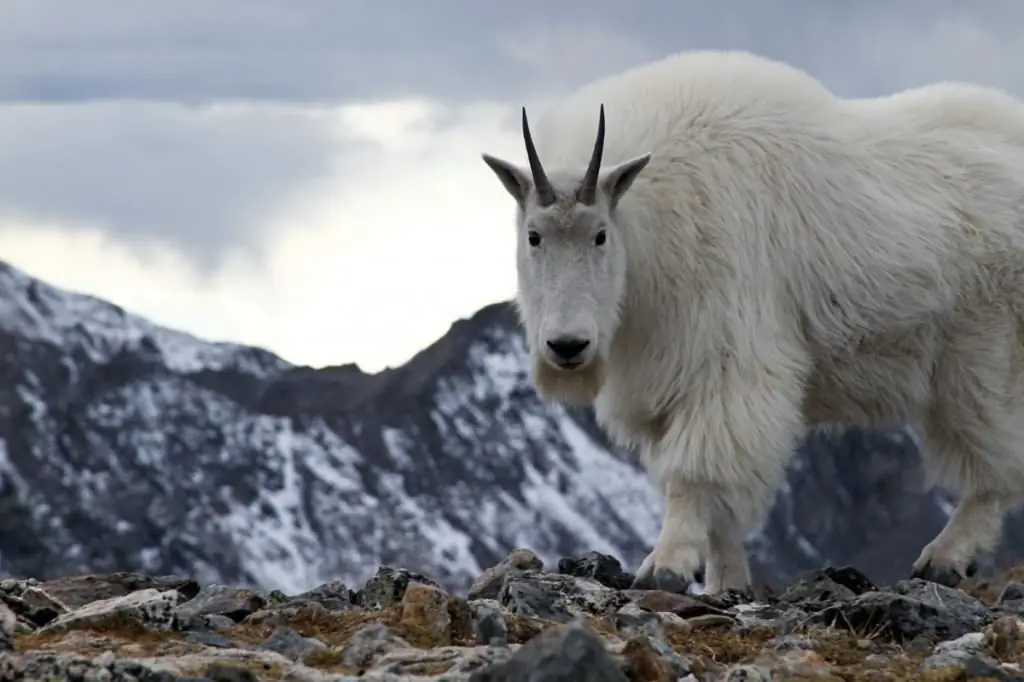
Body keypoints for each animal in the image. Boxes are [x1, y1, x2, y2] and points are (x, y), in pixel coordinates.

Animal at [481, 47, 1024, 593]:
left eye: (599, 235)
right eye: (533, 236)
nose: (567, 346)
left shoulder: (725, 360)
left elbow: (696, 473)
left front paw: (667, 565)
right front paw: (727, 582)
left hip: (984, 352)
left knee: (997, 460)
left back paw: (945, 556)